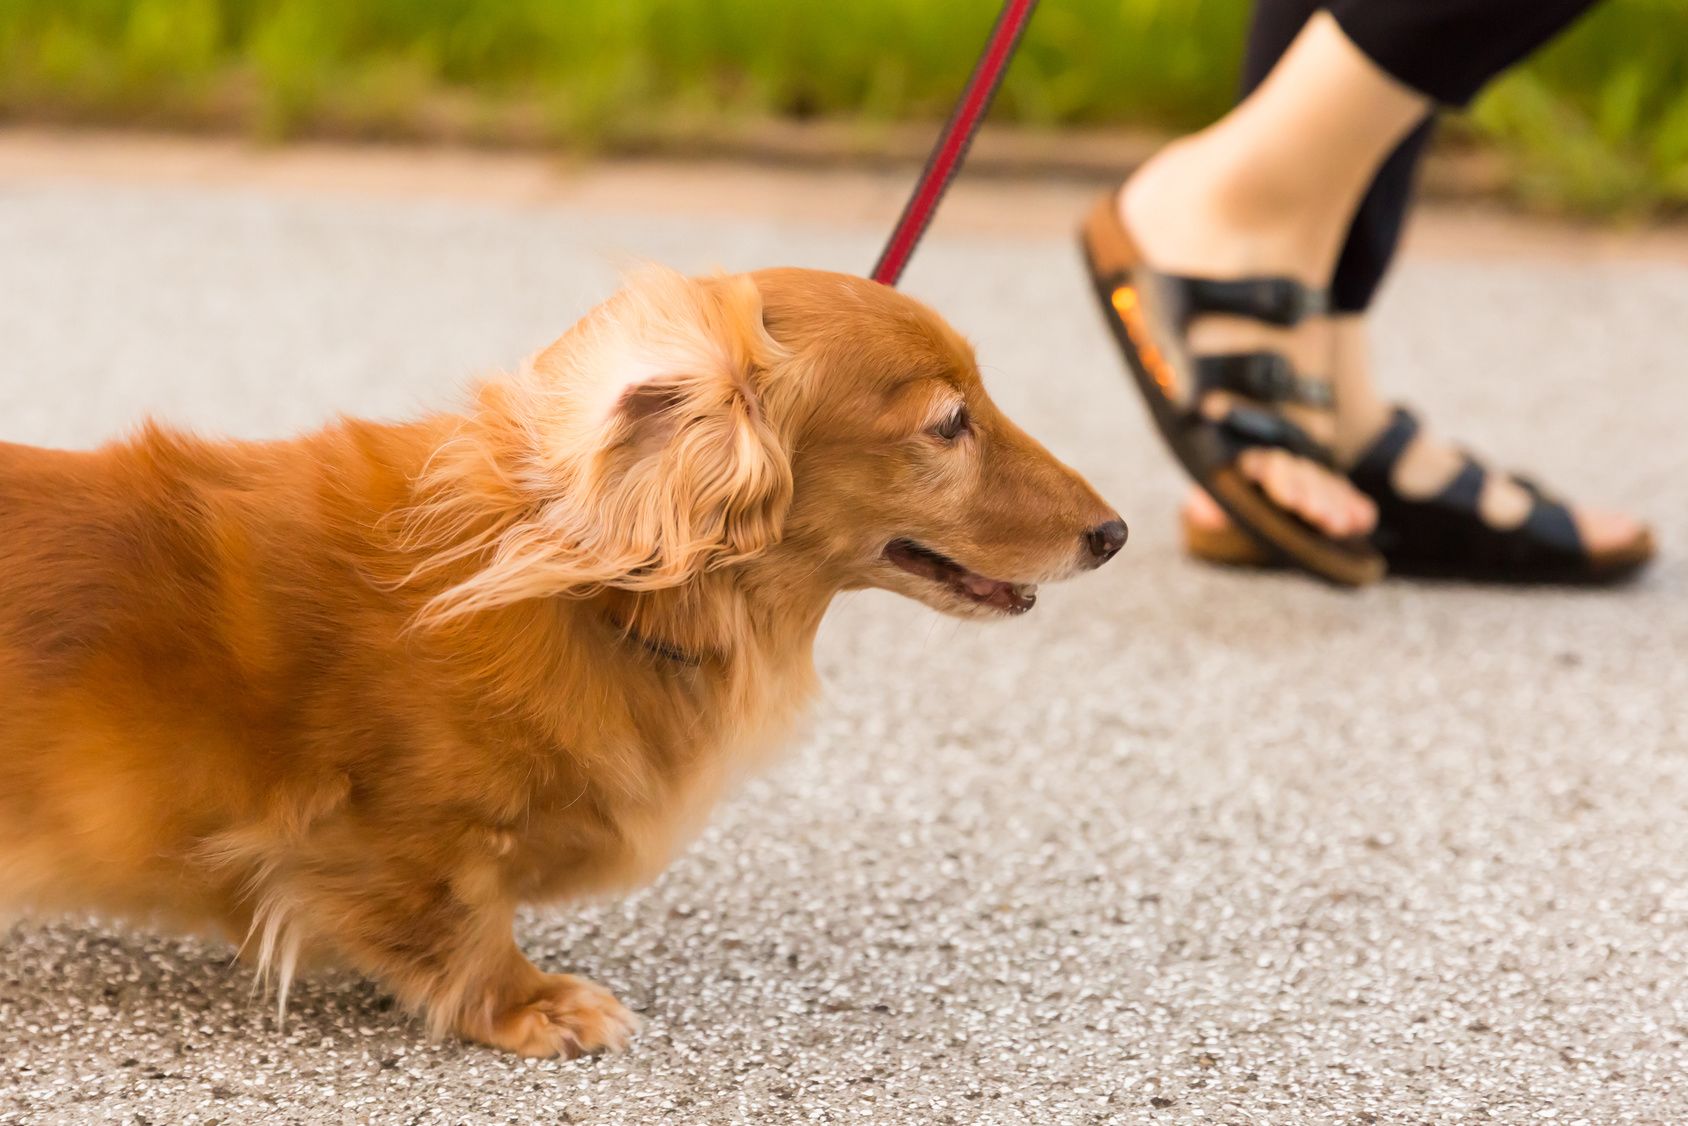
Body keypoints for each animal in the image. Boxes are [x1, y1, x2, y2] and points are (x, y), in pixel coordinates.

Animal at [3, 265, 1134, 1060]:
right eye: (949, 423)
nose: (1114, 533)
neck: (597, 596)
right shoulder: (401, 832)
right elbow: (457, 915)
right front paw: (526, 1002)